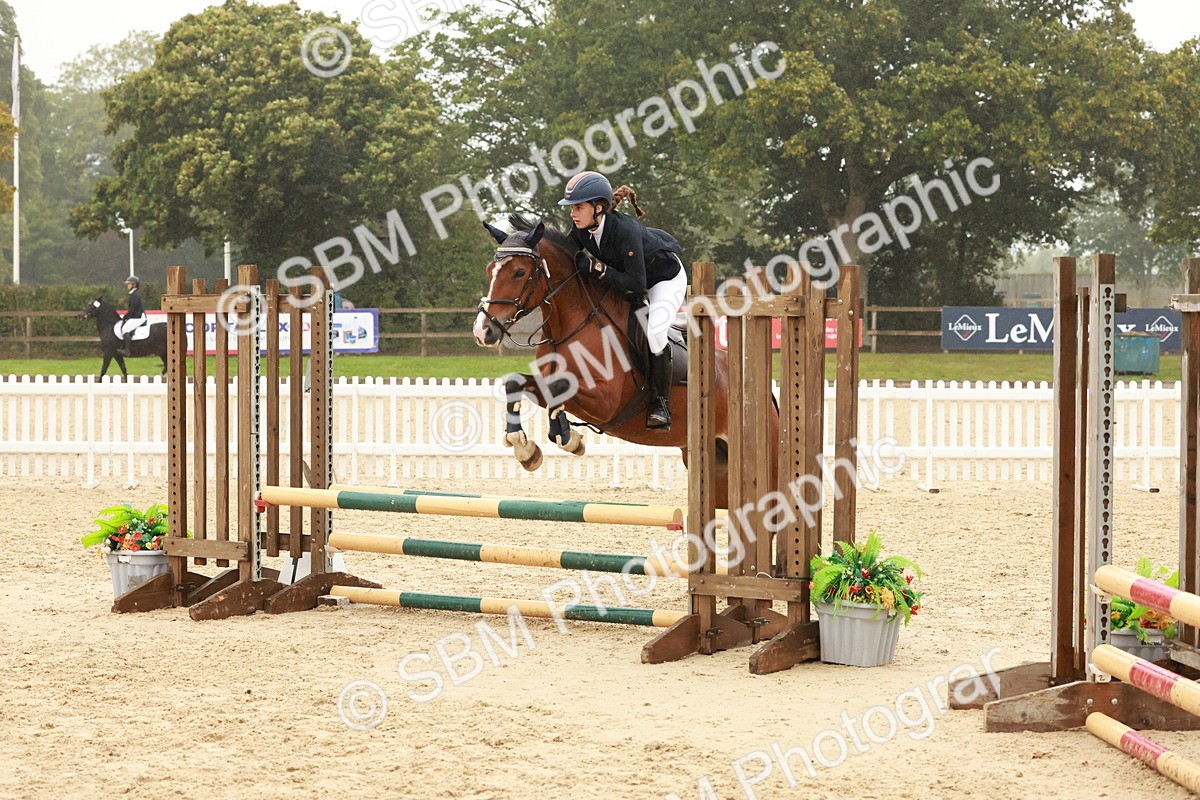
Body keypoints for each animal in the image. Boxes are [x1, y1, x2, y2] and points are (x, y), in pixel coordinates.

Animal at [472, 213, 779, 509]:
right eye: (489, 271)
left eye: (519, 272)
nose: (482, 331)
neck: (572, 325)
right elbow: (517, 384)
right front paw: (528, 448)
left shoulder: (606, 401)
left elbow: (558, 388)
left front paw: (566, 437)